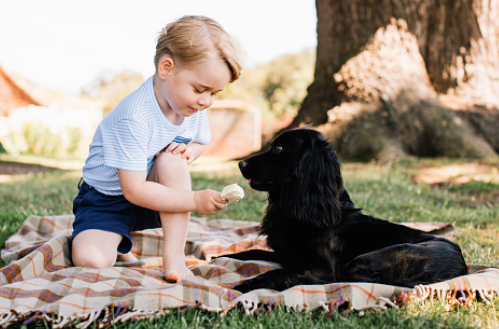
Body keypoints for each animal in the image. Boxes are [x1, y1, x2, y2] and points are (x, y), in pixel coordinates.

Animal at [223, 128, 468, 292]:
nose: (241, 164)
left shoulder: (322, 269)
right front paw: (221, 257)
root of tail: (462, 267)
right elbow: (249, 252)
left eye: (279, 148)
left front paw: (245, 285)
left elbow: (278, 272)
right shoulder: (286, 255)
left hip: (368, 259)